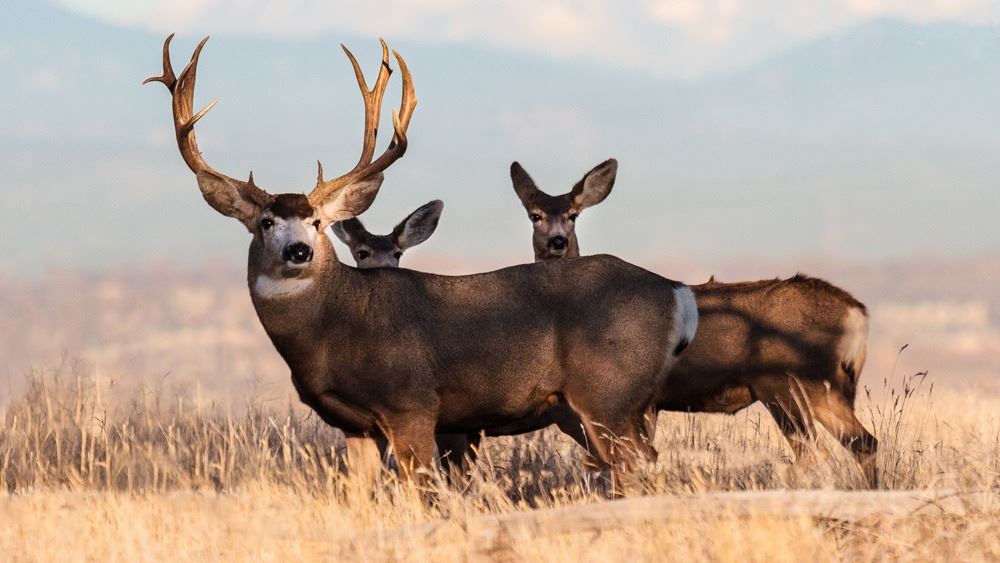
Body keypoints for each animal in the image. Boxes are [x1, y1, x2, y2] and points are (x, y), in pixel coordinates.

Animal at [145, 35, 699, 490]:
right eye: (264, 222)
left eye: (318, 222)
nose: (297, 251)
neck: (334, 329)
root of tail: (678, 292)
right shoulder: (355, 425)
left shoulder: (413, 404)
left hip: (608, 392)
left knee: (638, 467)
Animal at [508, 159, 879, 487]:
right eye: (535, 215)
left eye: (573, 215)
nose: (557, 241)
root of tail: (856, 313)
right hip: (828, 386)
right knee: (864, 442)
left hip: (786, 383)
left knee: (816, 454)